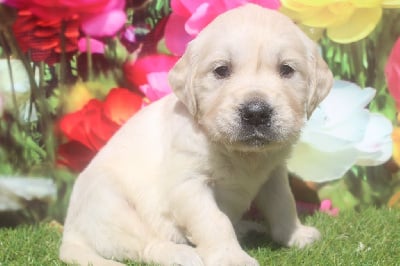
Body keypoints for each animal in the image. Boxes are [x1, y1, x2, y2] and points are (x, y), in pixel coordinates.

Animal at [59, 4, 332, 266]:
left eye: (286, 69)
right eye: (221, 70)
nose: (256, 113)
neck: (239, 153)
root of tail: (70, 235)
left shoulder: (273, 172)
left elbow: (284, 203)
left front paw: (296, 235)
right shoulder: (188, 184)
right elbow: (215, 221)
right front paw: (232, 257)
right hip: (110, 202)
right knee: (145, 246)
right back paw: (180, 254)